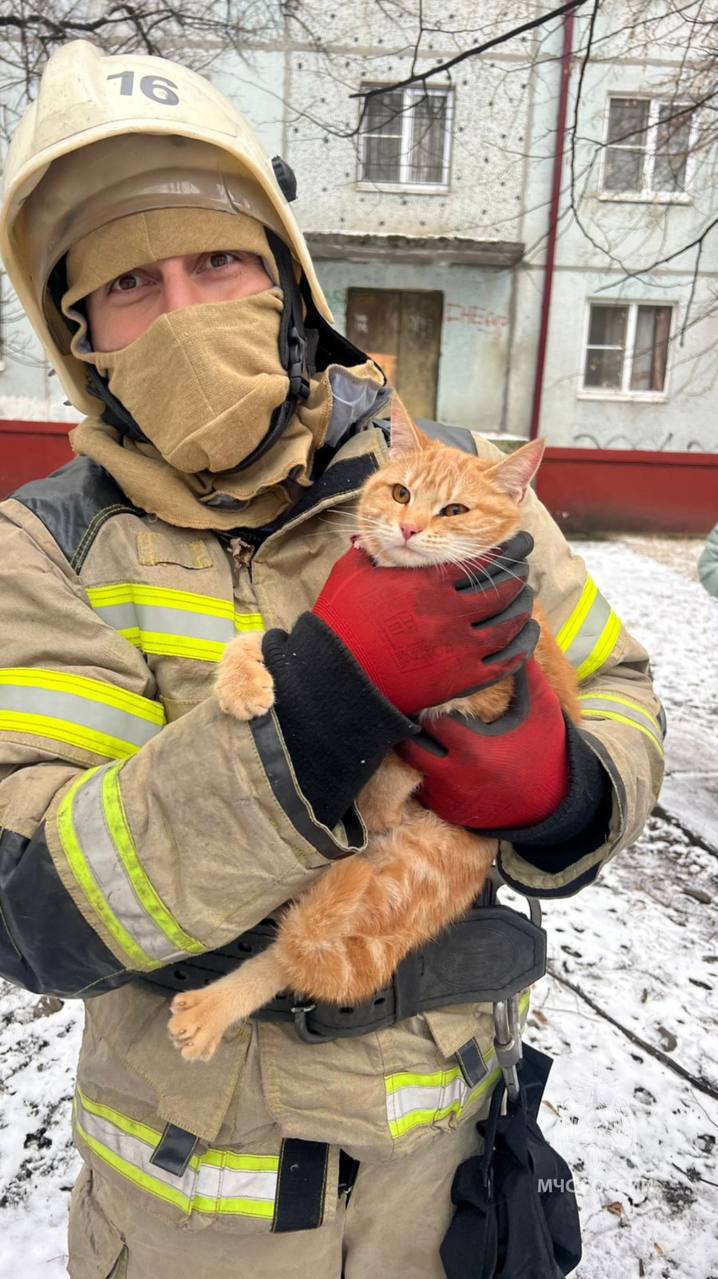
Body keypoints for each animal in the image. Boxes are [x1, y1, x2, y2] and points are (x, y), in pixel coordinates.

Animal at [166, 404, 575, 1064]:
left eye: (454, 510)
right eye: (401, 492)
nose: (408, 528)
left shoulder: (482, 701)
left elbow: (408, 740)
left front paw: (380, 796)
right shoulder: (328, 640)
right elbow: (265, 640)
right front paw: (242, 681)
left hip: (401, 876)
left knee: (296, 955)